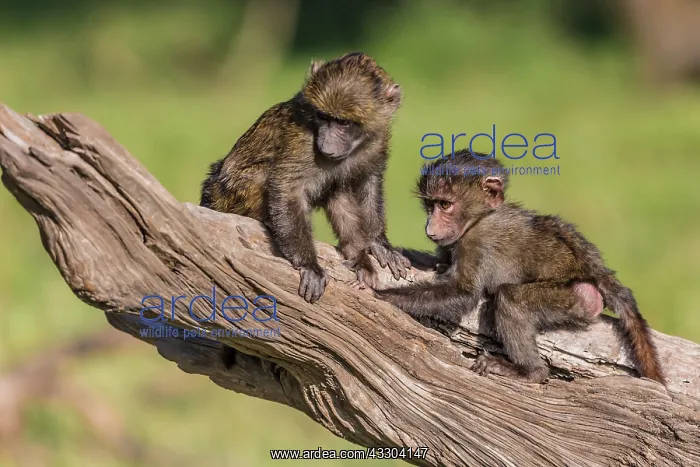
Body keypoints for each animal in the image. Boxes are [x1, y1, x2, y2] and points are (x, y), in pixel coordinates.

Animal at [200, 52, 410, 304]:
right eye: (323, 117)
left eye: (343, 122)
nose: (326, 145)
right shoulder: (302, 140)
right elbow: (288, 187)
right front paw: (309, 265)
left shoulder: (378, 139)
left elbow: (368, 180)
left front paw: (377, 242)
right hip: (226, 194)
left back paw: (356, 254)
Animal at [356, 150, 665, 385]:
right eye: (430, 205)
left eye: (446, 205)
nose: (430, 229)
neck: (480, 217)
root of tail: (594, 270)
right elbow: (438, 264)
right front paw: (389, 253)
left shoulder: (478, 241)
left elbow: (462, 293)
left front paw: (380, 295)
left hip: (575, 298)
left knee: (511, 299)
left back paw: (529, 372)